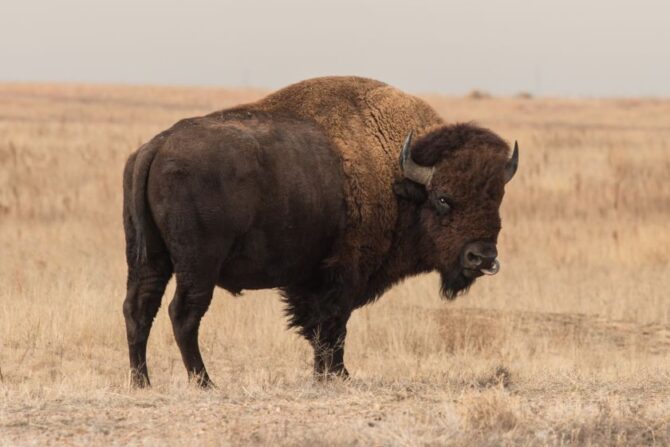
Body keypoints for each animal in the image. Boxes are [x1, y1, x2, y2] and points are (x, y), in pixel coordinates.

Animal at [122, 76, 518, 387]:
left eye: (498, 197)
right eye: (443, 198)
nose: (481, 257)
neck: (396, 175)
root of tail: (158, 145)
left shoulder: (310, 279)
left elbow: (319, 328)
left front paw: (327, 374)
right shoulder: (343, 275)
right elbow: (333, 326)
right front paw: (337, 375)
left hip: (149, 259)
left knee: (139, 308)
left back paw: (142, 381)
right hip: (198, 266)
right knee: (183, 313)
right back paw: (205, 381)